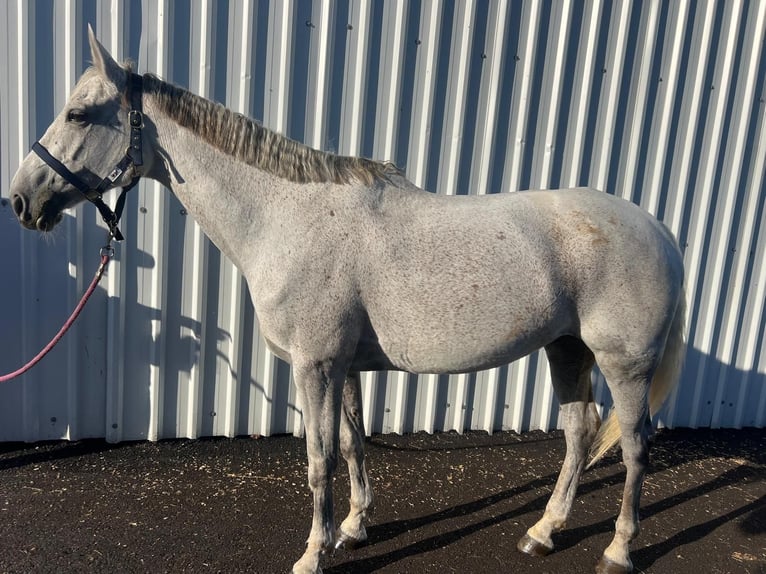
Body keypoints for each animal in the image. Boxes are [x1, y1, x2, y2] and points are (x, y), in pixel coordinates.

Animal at [9, 27, 686, 574]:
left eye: (78, 114)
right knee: (579, 433)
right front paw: (355, 528)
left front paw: (313, 552)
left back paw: (617, 549)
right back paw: (543, 532)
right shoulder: (346, 367)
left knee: (633, 446)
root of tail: (658, 229)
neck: (286, 216)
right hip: (566, 349)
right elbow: (355, 443)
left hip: (622, 364)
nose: (21, 200)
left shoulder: (316, 366)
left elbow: (319, 458)